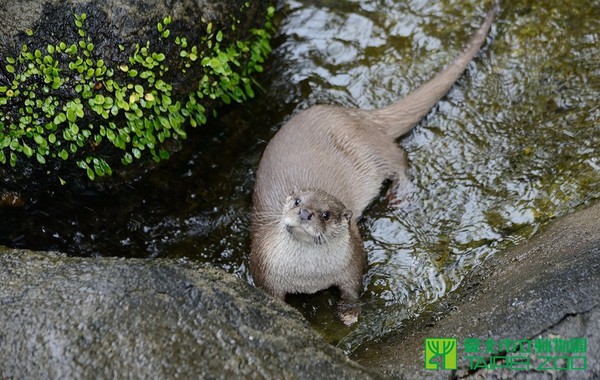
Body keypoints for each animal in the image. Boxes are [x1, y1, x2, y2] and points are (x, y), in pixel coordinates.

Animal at [250, 1, 502, 326]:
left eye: (326, 214)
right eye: (296, 201)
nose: (305, 213)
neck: (308, 278)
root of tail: (358, 116)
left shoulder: (352, 260)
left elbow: (352, 288)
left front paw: (349, 314)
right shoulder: (263, 268)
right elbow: (272, 297)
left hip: (371, 153)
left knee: (398, 157)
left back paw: (400, 195)